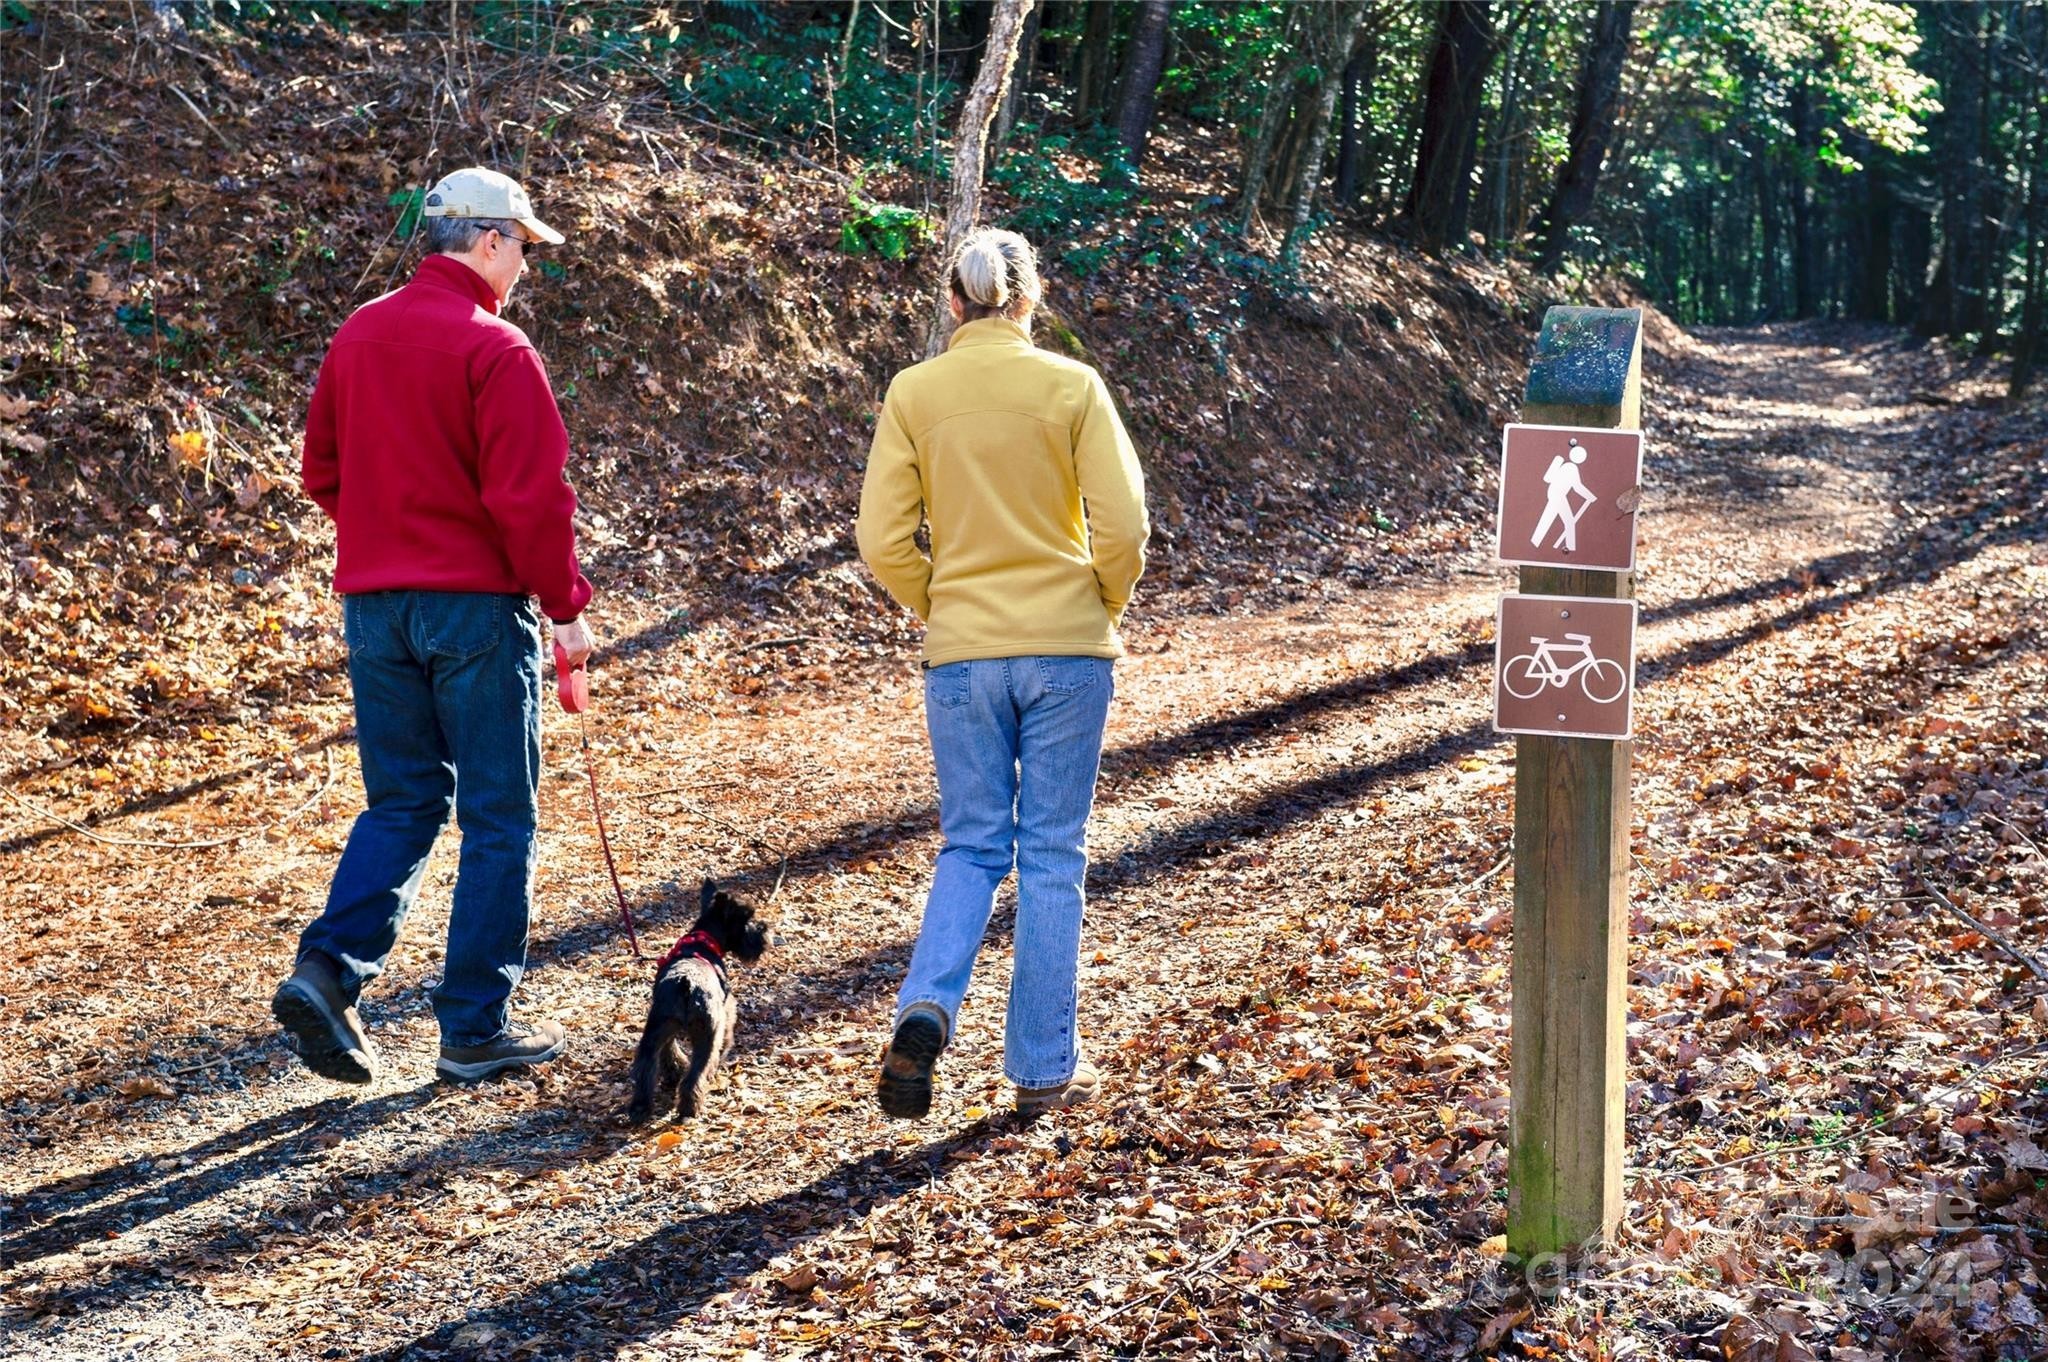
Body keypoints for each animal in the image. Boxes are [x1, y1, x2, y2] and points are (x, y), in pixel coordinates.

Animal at [622, 876, 770, 1122]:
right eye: (747, 917)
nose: (764, 931)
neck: (703, 940)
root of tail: (686, 983)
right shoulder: (726, 1012)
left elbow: (668, 1053)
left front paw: (673, 1071)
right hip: (707, 1035)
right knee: (696, 1075)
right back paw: (689, 1109)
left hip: (655, 1030)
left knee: (645, 1069)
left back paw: (640, 1109)